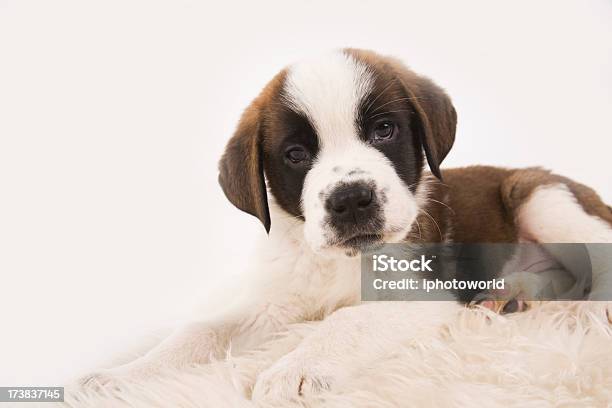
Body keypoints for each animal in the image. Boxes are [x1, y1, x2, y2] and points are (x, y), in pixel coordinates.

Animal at [80, 47, 612, 402]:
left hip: (540, 197)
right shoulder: (273, 302)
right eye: (296, 155)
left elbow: (347, 319)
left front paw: (296, 366)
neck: (338, 262)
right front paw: (122, 376)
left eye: (384, 130)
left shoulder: (423, 294)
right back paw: (512, 295)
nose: (351, 199)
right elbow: (200, 331)